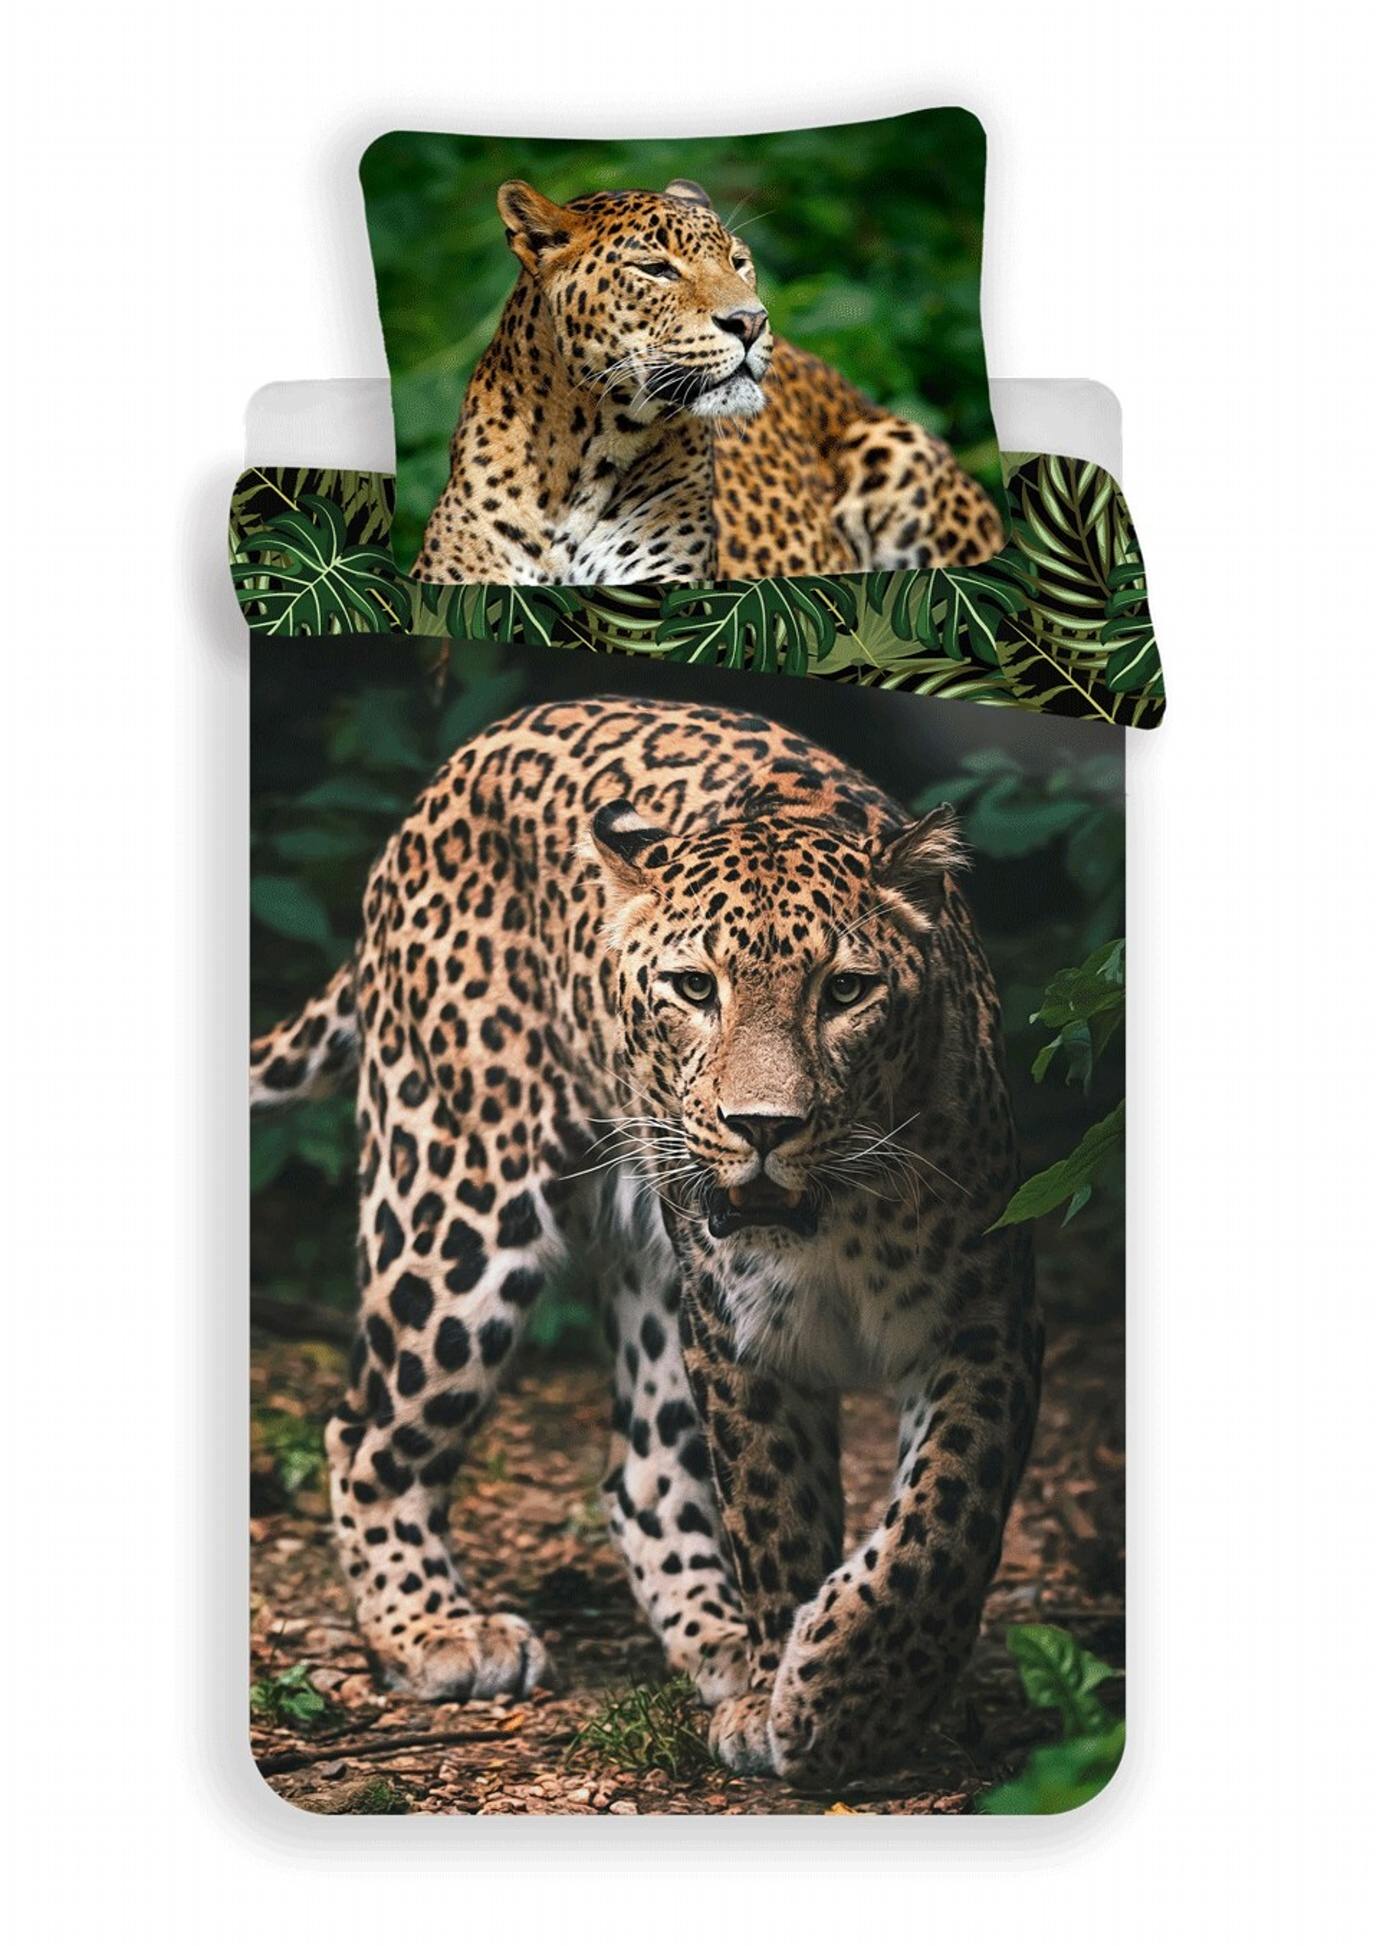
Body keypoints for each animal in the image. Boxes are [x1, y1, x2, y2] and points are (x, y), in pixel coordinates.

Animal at [251, 696, 1041, 1784]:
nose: (763, 1127)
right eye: (693, 988)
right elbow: (778, 1518)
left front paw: (849, 1690)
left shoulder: (985, 1319)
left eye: (846, 991)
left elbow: (942, 1519)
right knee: (365, 1429)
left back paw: (718, 1644)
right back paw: (437, 1632)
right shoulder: (742, 1340)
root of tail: (454, 769)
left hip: (651, 1273)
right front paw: (798, 1695)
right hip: (456, 1201)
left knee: (643, 1474)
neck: (834, 1222)